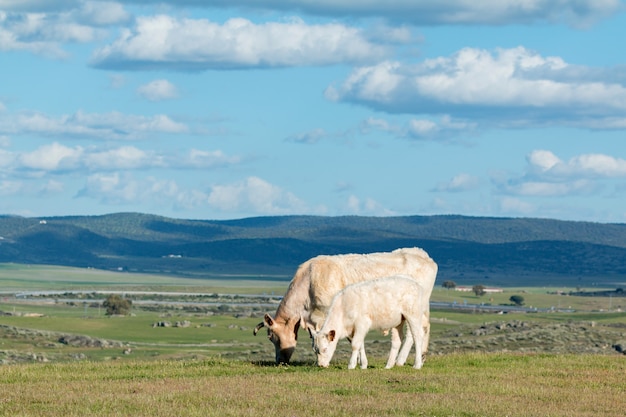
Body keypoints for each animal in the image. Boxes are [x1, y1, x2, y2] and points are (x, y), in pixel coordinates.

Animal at [251, 249, 436, 362]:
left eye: (271, 337)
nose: (280, 361)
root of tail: (424, 256)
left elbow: (350, 338)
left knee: (416, 331)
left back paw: (401, 360)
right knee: (424, 328)